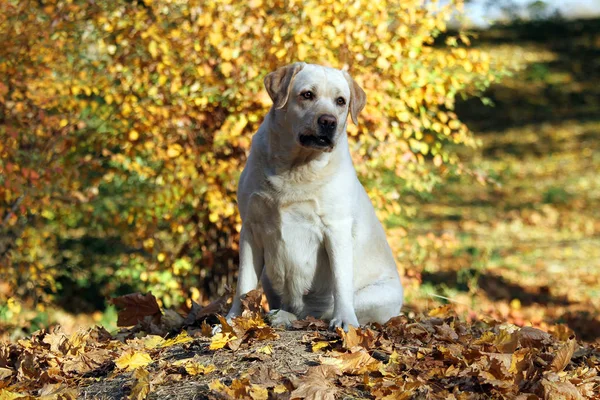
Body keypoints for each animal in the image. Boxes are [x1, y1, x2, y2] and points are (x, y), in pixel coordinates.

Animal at [226, 63, 404, 332]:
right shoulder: (250, 227)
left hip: (378, 295)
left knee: (320, 312)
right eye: (307, 94)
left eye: (341, 101)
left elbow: (341, 282)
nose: (328, 121)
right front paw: (232, 321)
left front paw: (345, 321)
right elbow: (243, 284)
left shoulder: (336, 228)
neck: (295, 167)